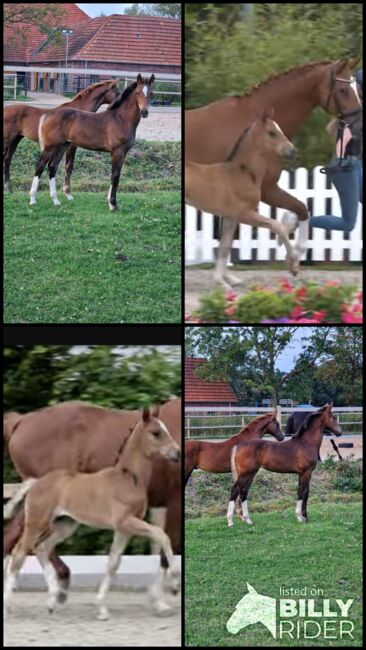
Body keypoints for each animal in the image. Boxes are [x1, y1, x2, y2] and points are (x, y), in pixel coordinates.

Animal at [2, 404, 180, 616]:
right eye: (156, 432)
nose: (177, 453)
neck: (127, 479)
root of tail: (36, 482)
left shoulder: (124, 529)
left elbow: (113, 563)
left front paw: (102, 608)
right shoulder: (126, 521)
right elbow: (162, 535)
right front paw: (175, 585)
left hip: (64, 524)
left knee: (42, 548)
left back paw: (53, 600)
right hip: (37, 522)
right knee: (19, 552)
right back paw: (10, 604)